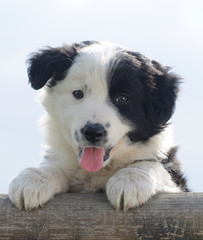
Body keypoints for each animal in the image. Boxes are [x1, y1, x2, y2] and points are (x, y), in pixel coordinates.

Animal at [8, 40, 189, 210]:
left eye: (122, 99)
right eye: (78, 93)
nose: (93, 132)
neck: (98, 170)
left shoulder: (175, 180)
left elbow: (151, 164)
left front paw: (130, 180)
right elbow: (56, 166)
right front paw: (33, 179)